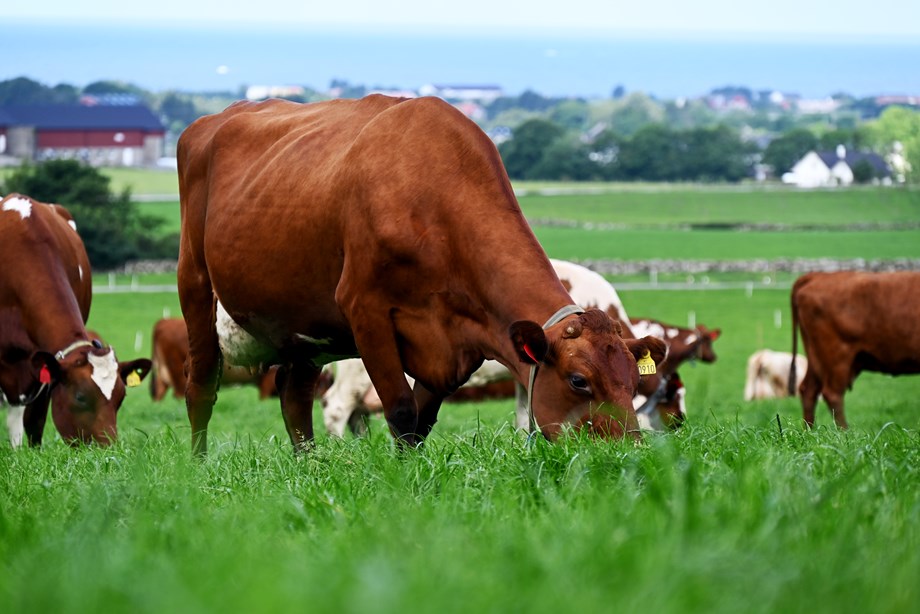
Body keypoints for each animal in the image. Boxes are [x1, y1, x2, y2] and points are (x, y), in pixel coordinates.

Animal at [176, 95, 667, 454]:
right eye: (579, 381)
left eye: (633, 380)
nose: (629, 453)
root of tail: (214, 118)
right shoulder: (366, 310)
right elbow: (399, 410)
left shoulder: (454, 344)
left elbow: (421, 422)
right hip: (194, 283)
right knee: (201, 387)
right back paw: (198, 467)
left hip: (302, 323)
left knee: (293, 393)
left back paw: (308, 467)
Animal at [790, 271, 920, 428]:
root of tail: (819, 275)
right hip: (837, 358)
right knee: (832, 394)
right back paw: (844, 432)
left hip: (815, 357)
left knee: (809, 390)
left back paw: (810, 431)